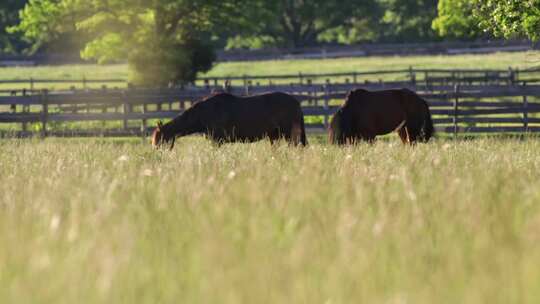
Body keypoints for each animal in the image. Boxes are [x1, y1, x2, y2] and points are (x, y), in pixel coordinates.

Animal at [152, 92, 306, 150]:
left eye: (159, 140)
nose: (157, 155)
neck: (203, 113)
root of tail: (296, 102)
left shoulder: (217, 140)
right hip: (274, 136)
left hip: (289, 134)